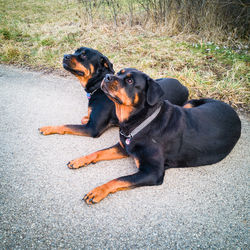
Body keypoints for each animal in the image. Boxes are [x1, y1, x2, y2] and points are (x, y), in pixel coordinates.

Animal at [38, 46, 188, 138]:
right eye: (76, 51)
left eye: (84, 56)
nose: (65, 56)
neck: (97, 86)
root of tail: (183, 86)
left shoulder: (92, 128)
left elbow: (67, 125)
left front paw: (49, 128)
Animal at [67, 68, 242, 203]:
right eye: (118, 73)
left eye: (130, 81)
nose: (107, 77)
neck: (141, 121)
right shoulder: (124, 147)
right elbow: (98, 152)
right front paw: (80, 160)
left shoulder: (152, 172)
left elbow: (119, 179)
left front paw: (98, 191)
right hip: (191, 104)